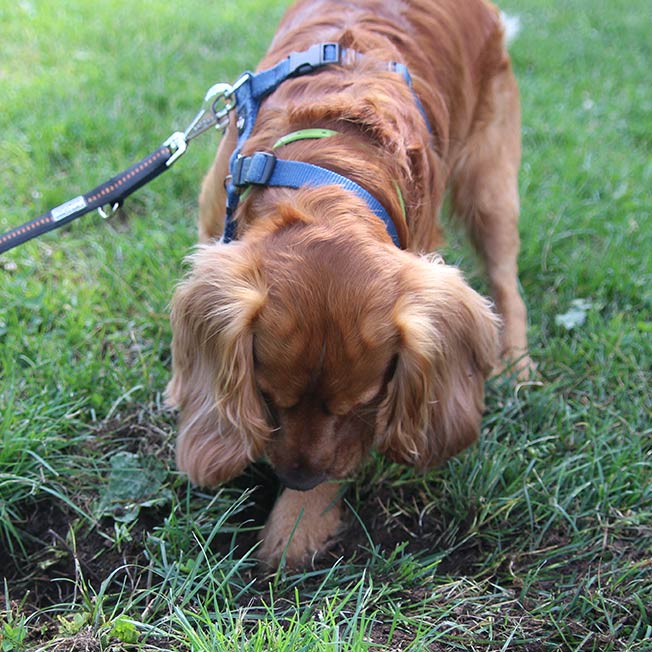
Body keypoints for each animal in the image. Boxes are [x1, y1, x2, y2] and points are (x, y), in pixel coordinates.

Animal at [167, 0, 528, 572]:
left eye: (363, 402)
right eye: (269, 396)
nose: (296, 479)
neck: (326, 171)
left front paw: (295, 527)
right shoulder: (213, 230)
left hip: (489, 182)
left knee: (506, 281)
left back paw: (517, 365)